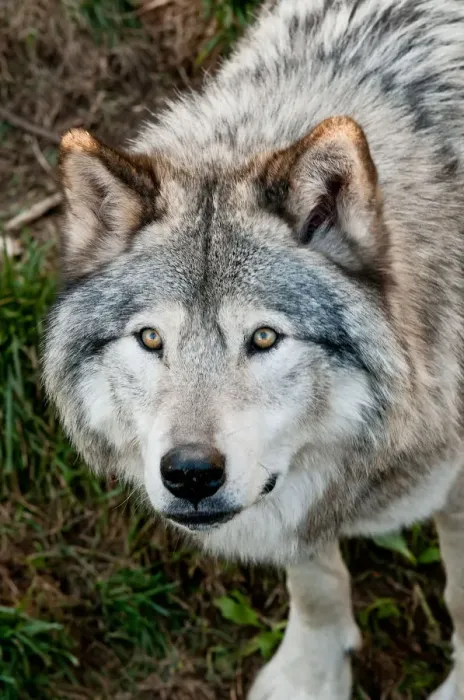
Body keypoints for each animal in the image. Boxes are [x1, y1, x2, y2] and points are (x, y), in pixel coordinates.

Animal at [43, 0, 464, 697]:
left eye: (264, 337)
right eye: (151, 338)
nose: (189, 473)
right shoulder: (289, 501)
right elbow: (315, 579)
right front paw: (310, 676)